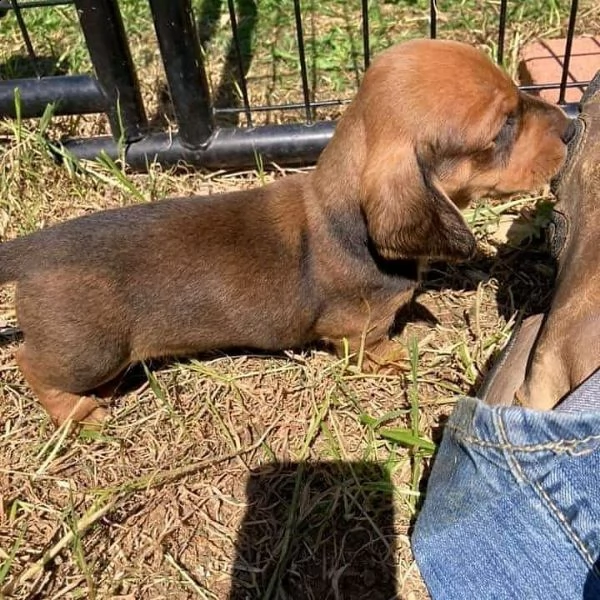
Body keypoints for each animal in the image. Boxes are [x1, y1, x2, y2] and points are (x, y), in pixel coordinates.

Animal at [0, 38, 568, 426]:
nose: (570, 125)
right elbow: (372, 347)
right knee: (33, 365)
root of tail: (33, 251)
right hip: (92, 351)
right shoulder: (355, 330)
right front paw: (397, 359)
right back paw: (79, 414)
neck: (346, 219)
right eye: (503, 127)